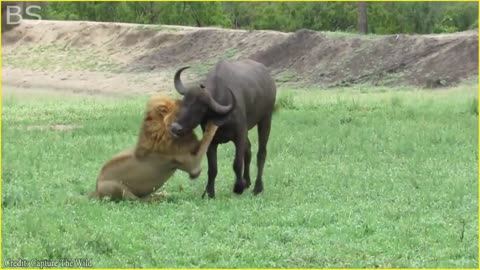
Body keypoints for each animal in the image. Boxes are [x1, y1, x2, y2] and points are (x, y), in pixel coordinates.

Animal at [89, 94, 218, 201]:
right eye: (180, 105)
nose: (182, 100)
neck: (163, 131)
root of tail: (95, 190)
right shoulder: (193, 166)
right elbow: (206, 138)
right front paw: (213, 123)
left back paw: (162, 194)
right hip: (115, 187)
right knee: (137, 201)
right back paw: (156, 199)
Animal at [171, 59, 278, 198]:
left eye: (200, 109)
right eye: (184, 102)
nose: (175, 127)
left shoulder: (239, 134)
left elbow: (237, 163)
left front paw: (238, 187)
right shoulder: (211, 140)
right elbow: (212, 168)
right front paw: (209, 192)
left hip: (266, 119)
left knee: (261, 153)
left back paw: (257, 187)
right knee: (248, 151)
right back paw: (247, 181)